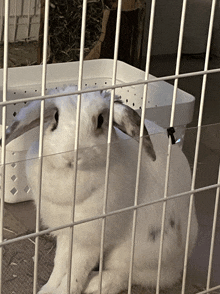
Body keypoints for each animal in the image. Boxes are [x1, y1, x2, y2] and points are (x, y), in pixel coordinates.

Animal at [2, 85, 198, 294]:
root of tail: (179, 267)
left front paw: (67, 289)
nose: (72, 155)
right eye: (55, 117)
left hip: (136, 252)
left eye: (101, 121)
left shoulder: (90, 240)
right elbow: (60, 264)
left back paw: (95, 284)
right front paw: (48, 289)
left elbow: (76, 270)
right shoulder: (66, 233)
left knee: (125, 275)